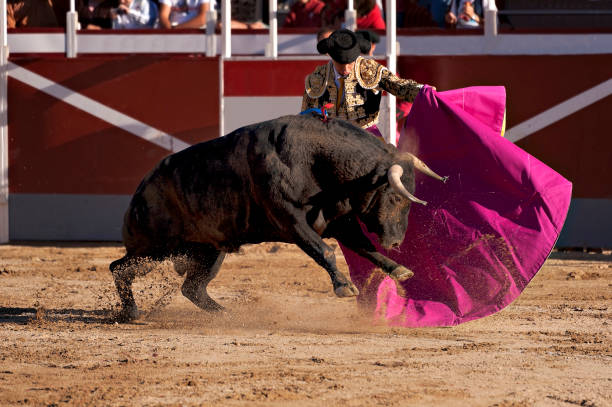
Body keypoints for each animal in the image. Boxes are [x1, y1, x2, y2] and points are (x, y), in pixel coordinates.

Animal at [110, 113, 444, 320]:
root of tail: (141, 189)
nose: (396, 242)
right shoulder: (291, 221)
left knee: (192, 287)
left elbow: (365, 247)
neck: (318, 161)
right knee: (119, 268)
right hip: (153, 249)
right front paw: (344, 286)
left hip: (209, 251)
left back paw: (225, 314)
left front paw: (400, 270)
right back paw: (131, 313)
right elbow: (325, 251)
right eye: (395, 197)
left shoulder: (338, 220)